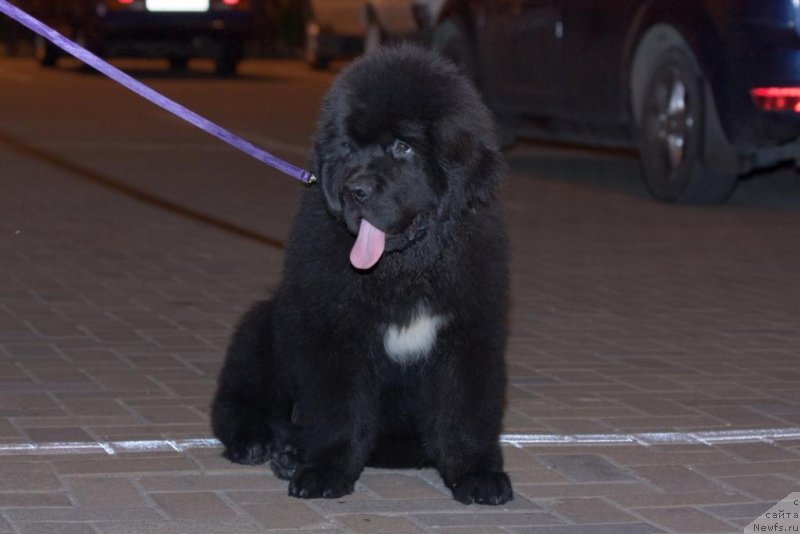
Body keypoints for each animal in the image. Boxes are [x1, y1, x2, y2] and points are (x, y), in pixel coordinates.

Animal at [212, 45, 512, 506]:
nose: (355, 190)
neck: (405, 271)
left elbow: (465, 409)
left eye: (403, 148)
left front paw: (478, 474)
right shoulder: (335, 332)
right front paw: (325, 471)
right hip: (262, 327)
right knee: (239, 399)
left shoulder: (468, 332)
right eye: (350, 147)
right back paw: (259, 442)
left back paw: (292, 453)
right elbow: (340, 410)